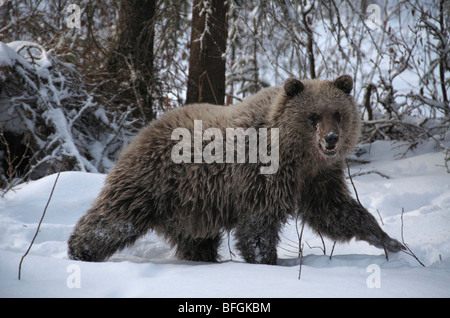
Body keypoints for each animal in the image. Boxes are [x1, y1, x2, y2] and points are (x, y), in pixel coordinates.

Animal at [67, 74, 404, 264]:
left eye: (338, 113)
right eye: (313, 116)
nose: (332, 139)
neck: (297, 155)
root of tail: (142, 130)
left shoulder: (318, 178)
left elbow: (335, 212)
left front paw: (389, 240)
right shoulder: (261, 176)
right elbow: (257, 227)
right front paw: (267, 261)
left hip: (192, 205)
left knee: (196, 239)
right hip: (153, 180)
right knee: (114, 218)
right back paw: (79, 251)